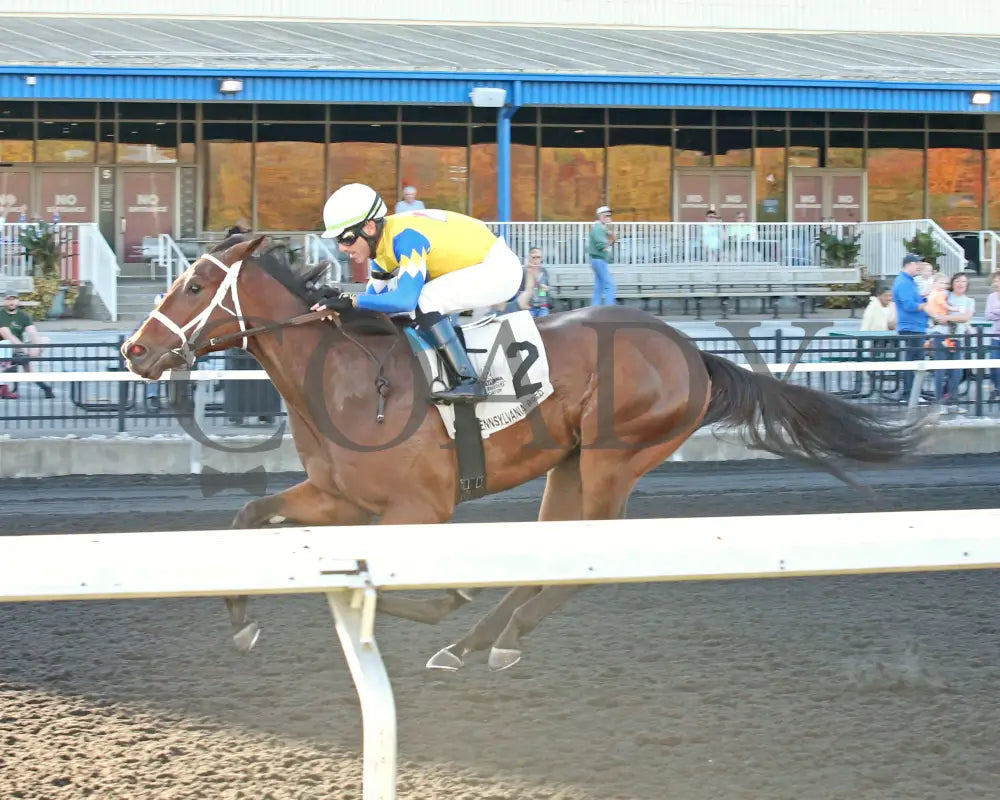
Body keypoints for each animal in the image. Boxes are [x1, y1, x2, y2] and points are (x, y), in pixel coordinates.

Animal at [121, 234, 924, 672]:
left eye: (196, 283)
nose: (134, 351)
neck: (347, 375)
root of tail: (693, 353)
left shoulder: (419, 508)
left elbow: (411, 583)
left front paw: (442, 598)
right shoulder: (336, 496)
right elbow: (248, 518)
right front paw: (243, 622)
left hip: (611, 459)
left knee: (586, 555)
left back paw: (493, 637)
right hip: (568, 464)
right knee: (552, 550)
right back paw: (476, 644)